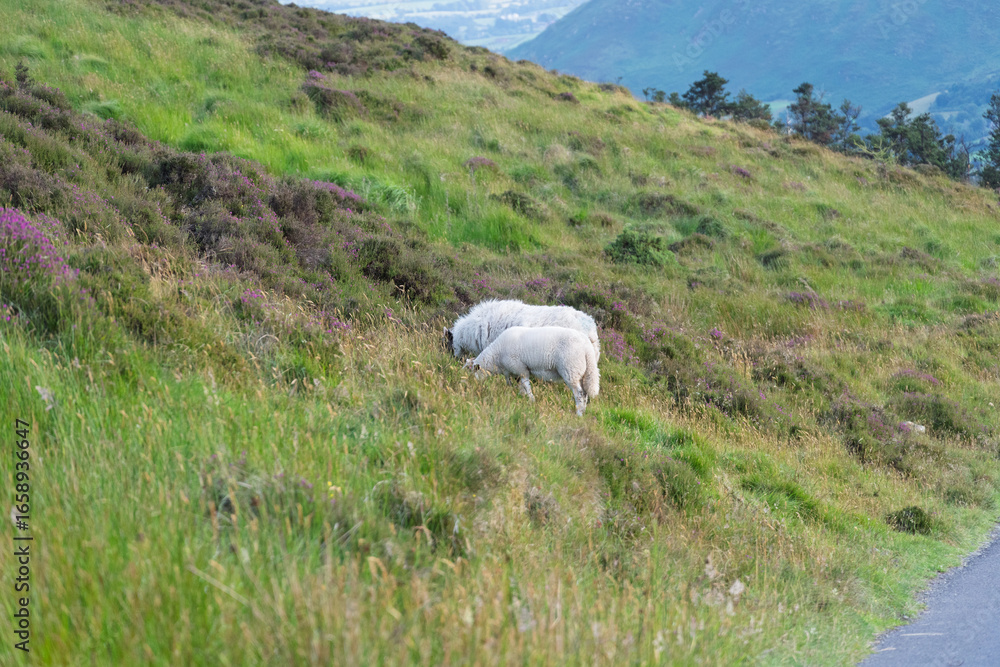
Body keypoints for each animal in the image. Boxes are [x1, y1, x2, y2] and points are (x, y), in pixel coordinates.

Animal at [463, 326, 600, 416]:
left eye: (472, 371)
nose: (469, 385)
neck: (496, 356)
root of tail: (587, 347)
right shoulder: (513, 372)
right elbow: (518, 386)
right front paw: (521, 398)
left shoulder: (520, 368)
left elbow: (526, 386)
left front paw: (531, 400)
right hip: (582, 372)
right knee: (585, 393)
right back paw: (583, 411)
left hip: (571, 369)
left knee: (580, 393)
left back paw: (579, 413)